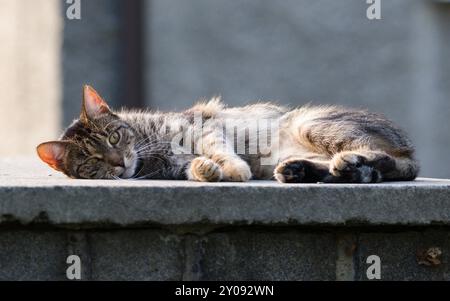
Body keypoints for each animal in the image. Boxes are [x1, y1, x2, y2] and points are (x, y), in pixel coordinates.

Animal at [37, 84, 420, 183]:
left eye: (114, 138)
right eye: (92, 161)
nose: (118, 163)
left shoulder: (202, 128)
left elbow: (222, 151)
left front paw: (234, 170)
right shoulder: (180, 163)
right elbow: (195, 166)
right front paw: (207, 170)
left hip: (312, 124)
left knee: (395, 162)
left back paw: (351, 162)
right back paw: (304, 171)